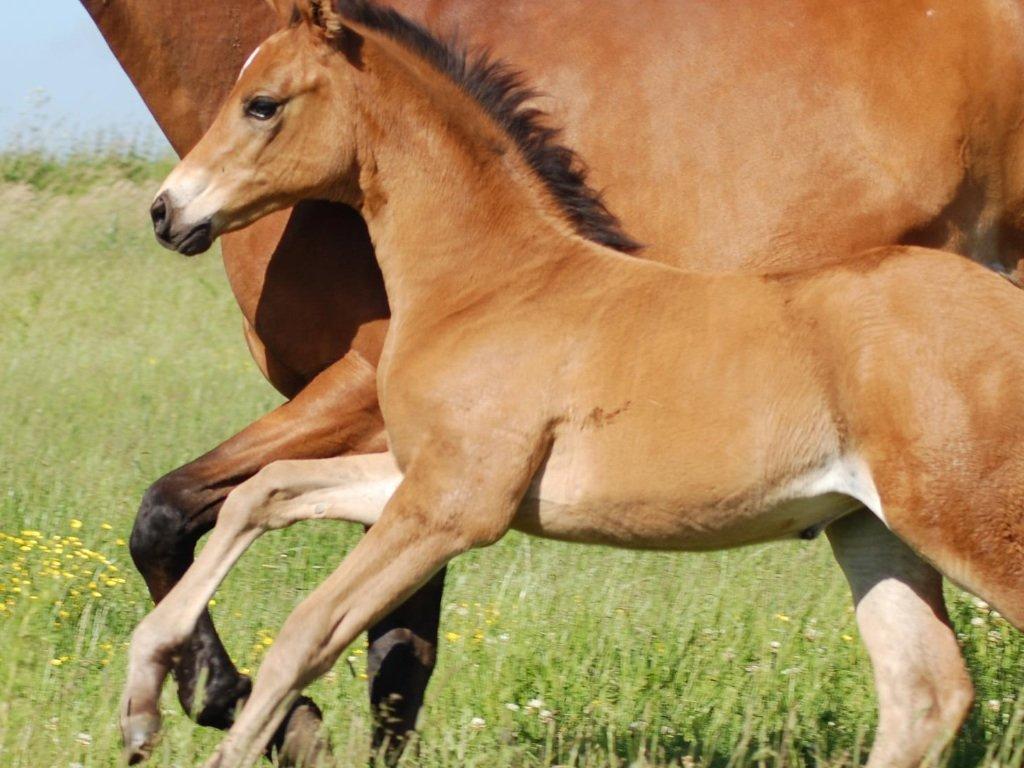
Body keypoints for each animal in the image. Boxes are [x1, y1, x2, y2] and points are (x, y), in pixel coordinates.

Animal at [123, 3, 1024, 765]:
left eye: (262, 104)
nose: (167, 212)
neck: (493, 282)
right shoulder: (424, 478)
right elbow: (264, 492)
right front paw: (143, 693)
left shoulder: (455, 508)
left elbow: (304, 635)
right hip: (868, 527)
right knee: (924, 695)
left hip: (966, 521)